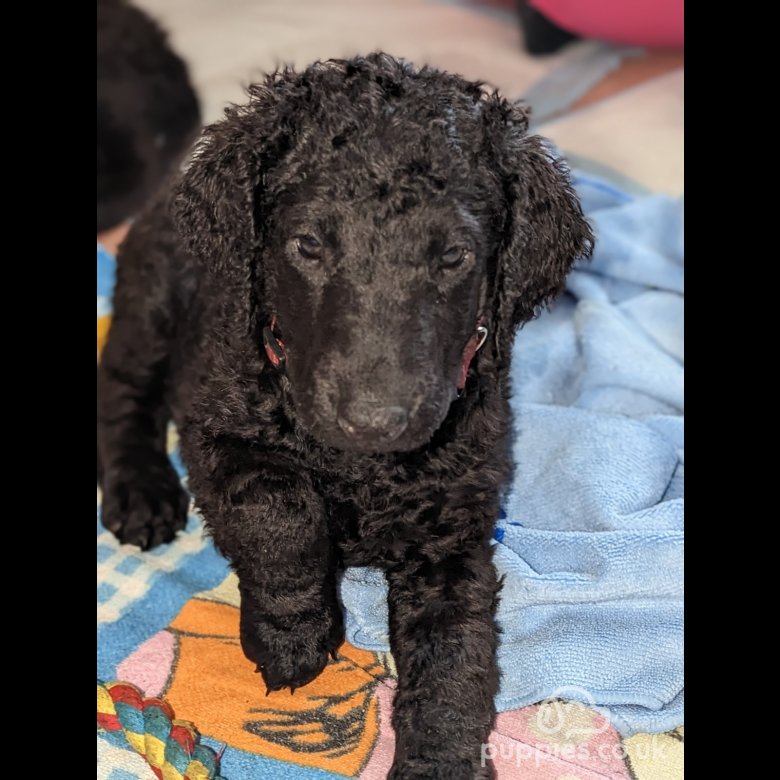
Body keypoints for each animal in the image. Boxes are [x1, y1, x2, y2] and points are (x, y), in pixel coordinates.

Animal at [96, 54, 592, 780]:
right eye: (307, 246)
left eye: (453, 257)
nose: (375, 420)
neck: (361, 466)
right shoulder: (218, 424)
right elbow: (279, 508)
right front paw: (294, 634)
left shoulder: (452, 528)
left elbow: (455, 651)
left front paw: (439, 759)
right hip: (153, 296)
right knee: (123, 390)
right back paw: (140, 493)